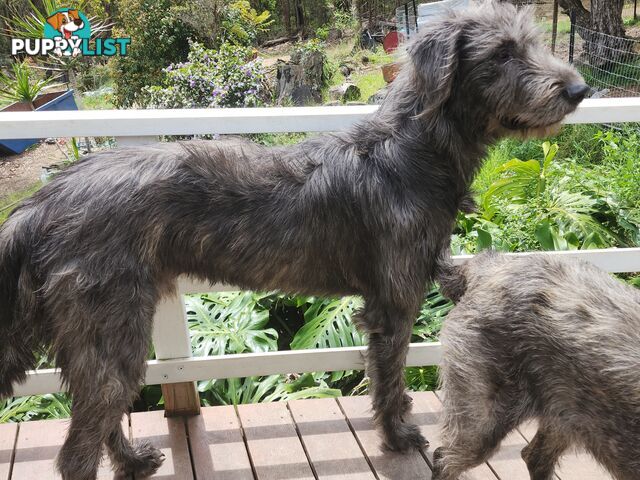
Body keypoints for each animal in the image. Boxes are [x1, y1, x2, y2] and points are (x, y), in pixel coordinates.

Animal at [0, 1, 588, 478]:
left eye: (536, 42)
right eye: (504, 53)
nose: (579, 90)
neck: (412, 151)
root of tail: (42, 202)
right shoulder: (394, 303)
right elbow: (390, 379)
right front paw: (398, 436)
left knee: (102, 414)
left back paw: (132, 460)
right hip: (108, 323)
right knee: (78, 446)